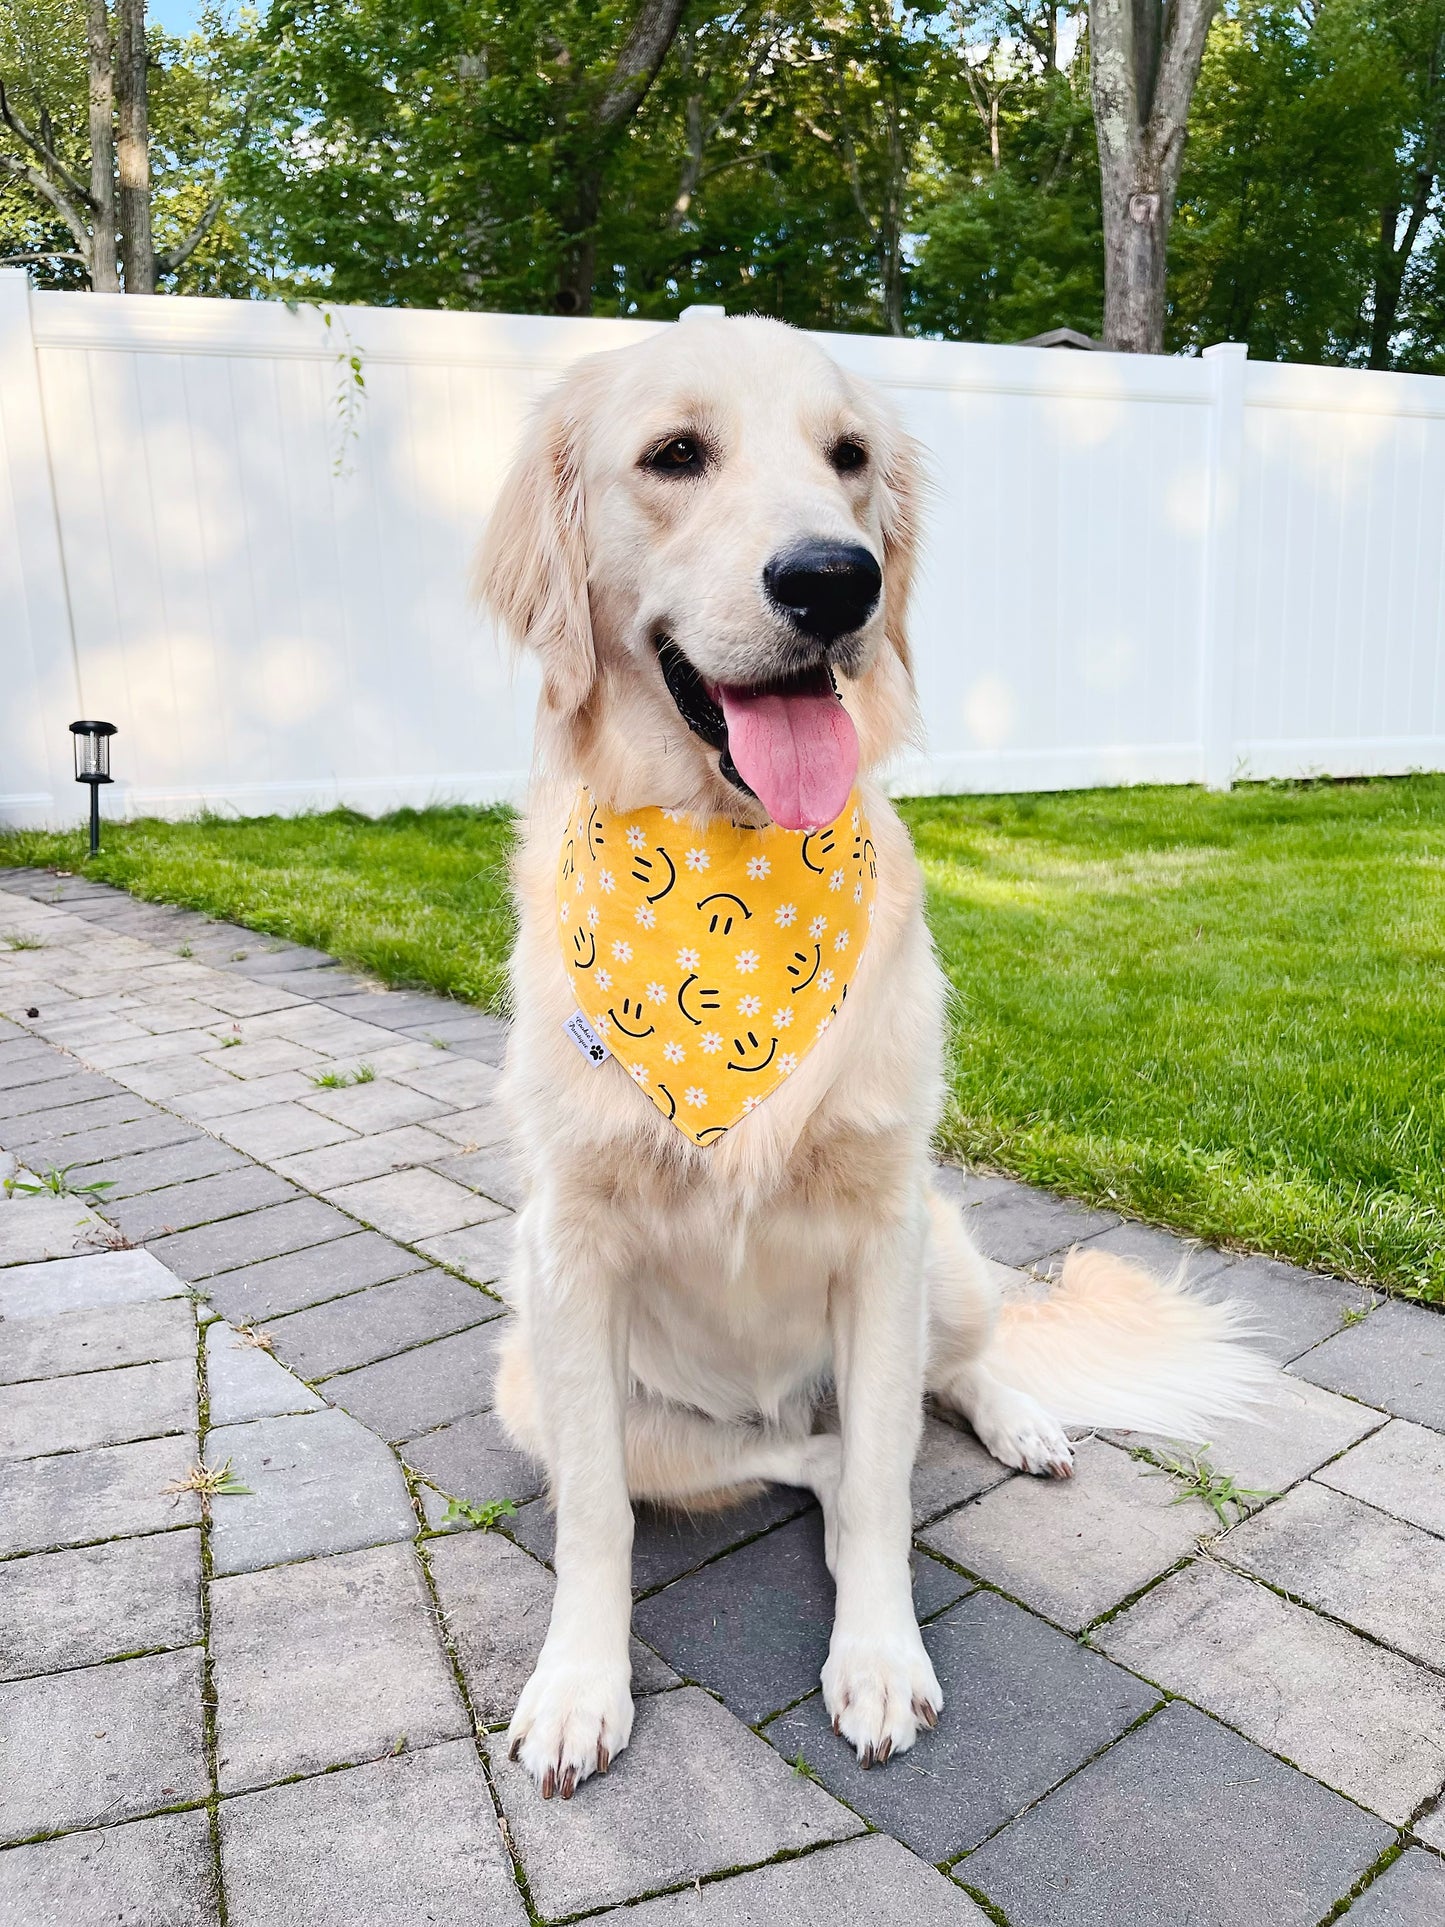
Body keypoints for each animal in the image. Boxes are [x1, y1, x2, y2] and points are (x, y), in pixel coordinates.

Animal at [475, 316, 1263, 1803]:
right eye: (675, 453)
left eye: (846, 457)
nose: (838, 581)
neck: (727, 877)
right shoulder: (570, 1252)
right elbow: (600, 1511)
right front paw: (578, 1685)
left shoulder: (881, 1224)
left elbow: (896, 1477)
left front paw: (881, 1657)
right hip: (553, 1384)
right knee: (810, 1459)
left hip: (937, 1249)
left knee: (920, 1401)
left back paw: (1018, 1423)